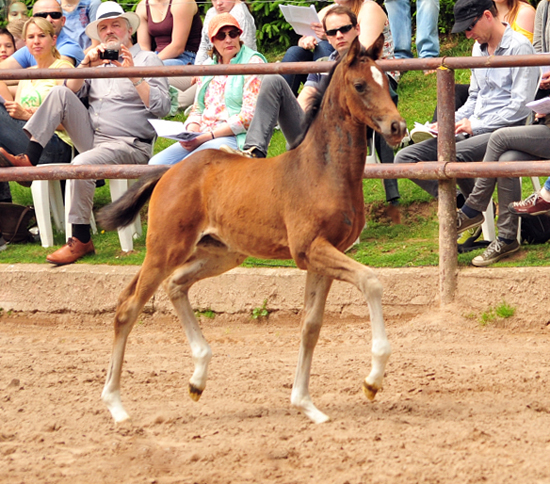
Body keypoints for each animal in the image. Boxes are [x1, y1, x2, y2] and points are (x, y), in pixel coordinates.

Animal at [99, 36, 408, 426]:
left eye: (386, 80)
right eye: (360, 85)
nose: (397, 127)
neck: (322, 170)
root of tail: (169, 172)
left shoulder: (322, 256)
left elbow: (310, 326)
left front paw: (306, 404)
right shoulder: (310, 250)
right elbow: (372, 282)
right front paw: (372, 380)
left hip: (220, 253)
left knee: (175, 286)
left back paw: (198, 378)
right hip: (166, 249)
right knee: (128, 307)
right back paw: (116, 404)